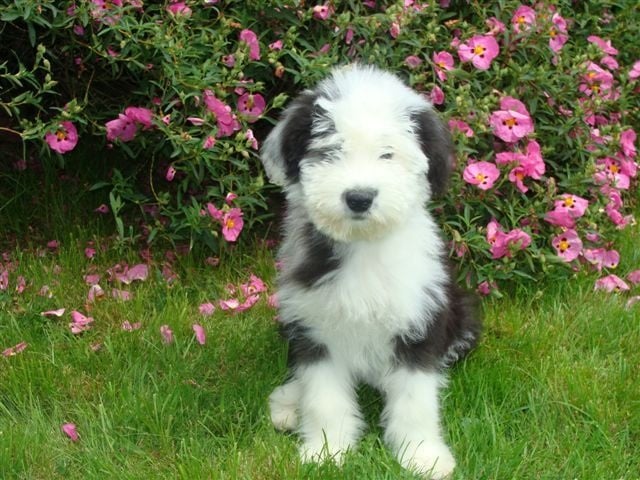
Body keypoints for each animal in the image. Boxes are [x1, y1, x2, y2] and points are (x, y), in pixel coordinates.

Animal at [260, 64, 481, 479]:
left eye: (387, 154)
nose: (359, 197)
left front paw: (423, 456)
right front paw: (327, 450)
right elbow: (324, 398)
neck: (364, 245)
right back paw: (288, 402)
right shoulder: (316, 329)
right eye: (331, 151)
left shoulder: (417, 323)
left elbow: (415, 401)